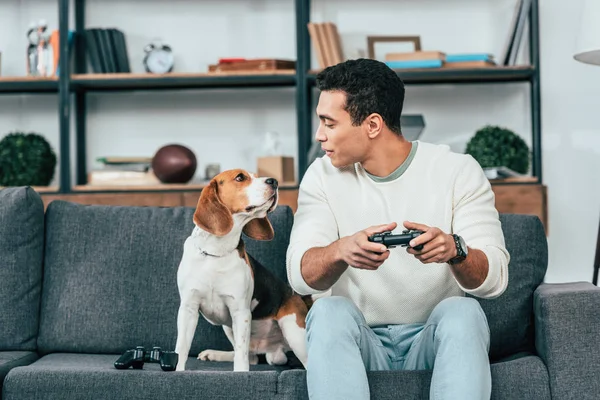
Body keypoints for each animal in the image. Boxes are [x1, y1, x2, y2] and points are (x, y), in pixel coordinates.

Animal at [173, 168, 312, 372]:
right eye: (240, 177)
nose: (274, 181)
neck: (217, 252)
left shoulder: (240, 311)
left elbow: (241, 356)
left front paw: (241, 373)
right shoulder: (188, 308)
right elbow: (181, 348)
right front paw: (178, 370)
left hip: (292, 328)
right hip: (228, 327)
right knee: (252, 356)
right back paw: (215, 354)